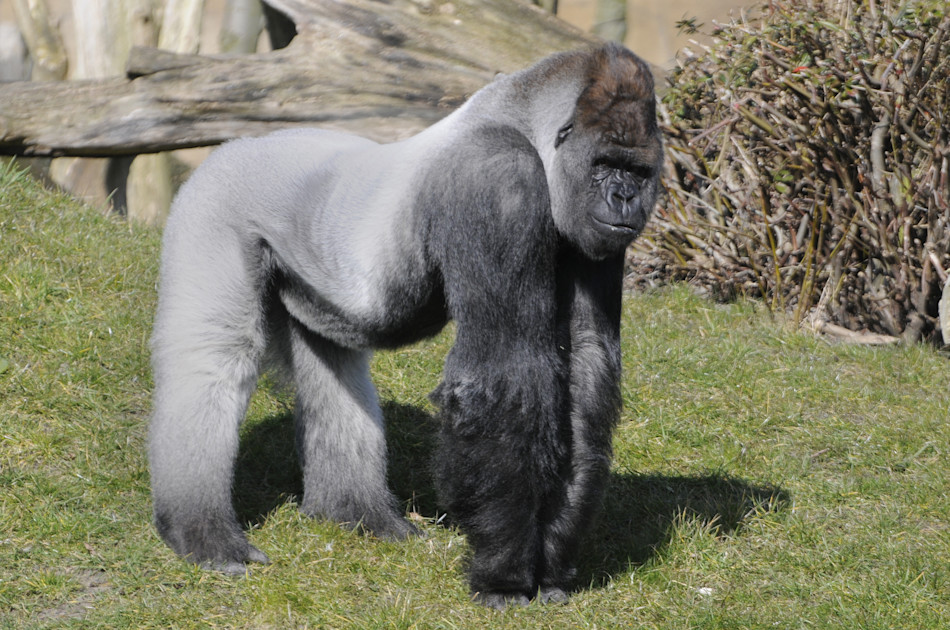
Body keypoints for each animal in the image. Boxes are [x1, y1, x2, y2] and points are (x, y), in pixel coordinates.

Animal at [149, 42, 662, 608]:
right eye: (605, 165)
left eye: (638, 172)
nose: (624, 199)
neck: (523, 121)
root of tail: (236, 144)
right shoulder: (496, 178)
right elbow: (505, 373)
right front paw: (503, 571)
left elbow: (587, 371)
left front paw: (552, 558)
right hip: (213, 202)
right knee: (216, 356)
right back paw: (201, 532)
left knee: (334, 367)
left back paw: (356, 512)